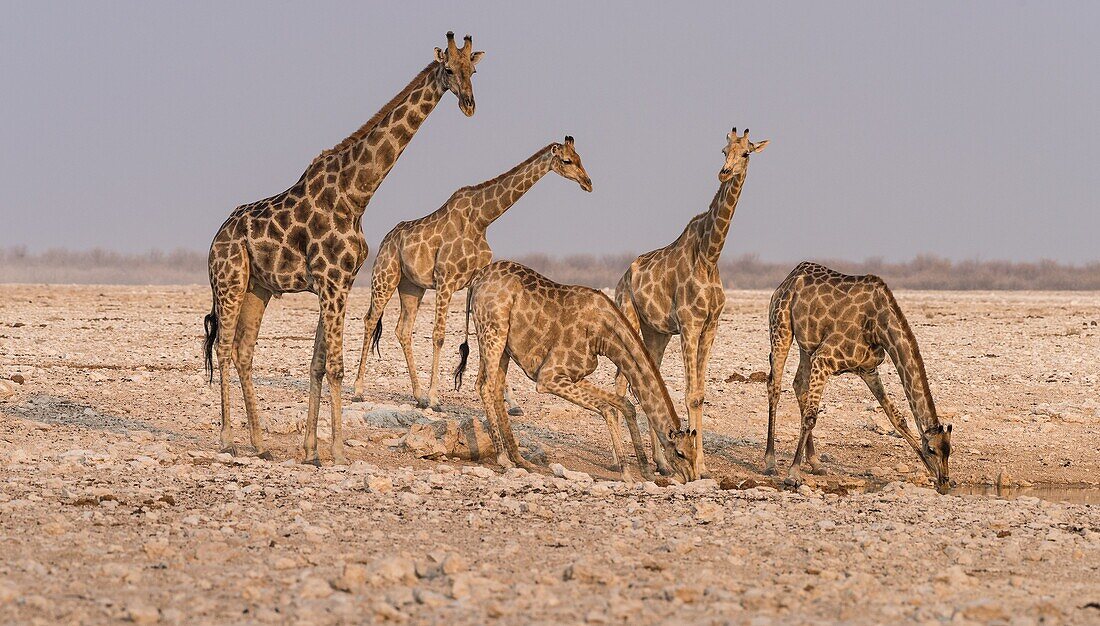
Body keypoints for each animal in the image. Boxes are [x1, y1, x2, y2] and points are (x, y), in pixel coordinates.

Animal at [203, 33, 486, 464]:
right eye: (449, 70)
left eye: (474, 70)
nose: (469, 104)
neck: (357, 193)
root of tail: (216, 238)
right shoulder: (331, 279)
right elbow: (335, 365)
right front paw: (336, 449)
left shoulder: (339, 281)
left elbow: (318, 364)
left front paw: (311, 450)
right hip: (229, 280)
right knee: (222, 347)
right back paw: (228, 440)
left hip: (258, 288)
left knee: (243, 351)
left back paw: (260, 443)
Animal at [352, 135, 594, 409]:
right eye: (567, 160)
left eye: (580, 158)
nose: (588, 183)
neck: (482, 219)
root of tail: (387, 239)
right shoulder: (446, 279)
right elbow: (439, 335)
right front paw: (435, 397)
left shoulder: (474, 280)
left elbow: (484, 341)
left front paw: (513, 403)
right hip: (385, 275)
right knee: (371, 320)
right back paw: (360, 390)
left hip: (412, 286)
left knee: (403, 329)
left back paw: (418, 395)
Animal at [453, 258, 695, 484]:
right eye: (680, 453)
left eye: (694, 452)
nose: (692, 477)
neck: (604, 336)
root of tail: (477, 279)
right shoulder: (549, 377)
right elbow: (608, 408)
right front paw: (627, 473)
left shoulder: (574, 375)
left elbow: (625, 405)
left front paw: (645, 471)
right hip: (493, 331)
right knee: (486, 386)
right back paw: (504, 458)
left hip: (502, 344)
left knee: (491, 386)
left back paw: (520, 459)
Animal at [616, 128, 770, 477]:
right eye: (724, 149)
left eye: (746, 153)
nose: (724, 172)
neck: (710, 256)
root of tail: (622, 279)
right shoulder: (689, 324)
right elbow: (689, 394)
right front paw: (696, 466)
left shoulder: (711, 325)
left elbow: (699, 394)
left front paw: (701, 465)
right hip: (628, 318)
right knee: (620, 384)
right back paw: (618, 460)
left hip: (656, 333)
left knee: (649, 379)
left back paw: (661, 464)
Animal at [765, 259, 954, 492]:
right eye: (931, 449)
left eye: (949, 451)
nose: (944, 482)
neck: (879, 326)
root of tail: (789, 278)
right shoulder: (824, 359)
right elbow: (811, 417)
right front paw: (793, 474)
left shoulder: (868, 369)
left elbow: (897, 418)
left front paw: (930, 473)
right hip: (781, 327)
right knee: (774, 385)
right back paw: (770, 463)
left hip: (807, 346)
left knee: (799, 384)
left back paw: (816, 463)